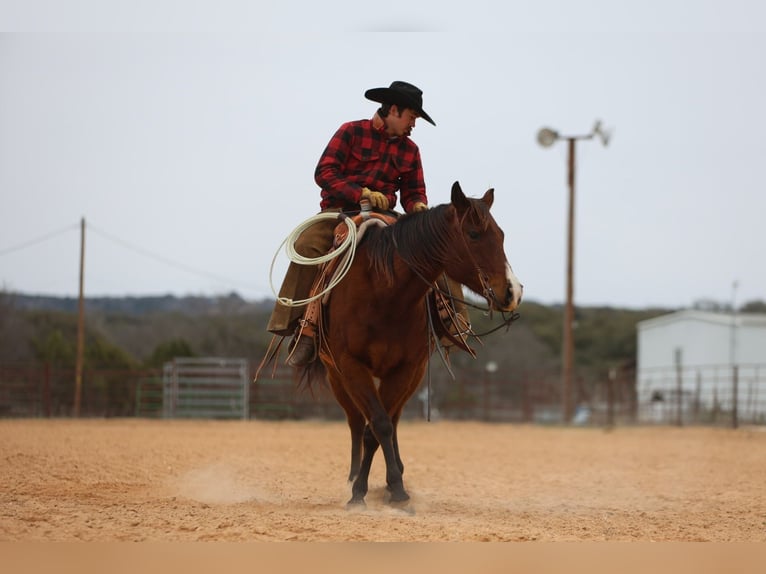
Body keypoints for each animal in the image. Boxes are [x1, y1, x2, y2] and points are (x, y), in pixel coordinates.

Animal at [308, 181, 524, 508]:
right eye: (474, 234)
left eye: (500, 235)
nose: (512, 291)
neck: (384, 294)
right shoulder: (350, 365)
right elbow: (376, 424)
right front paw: (358, 492)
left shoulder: (406, 368)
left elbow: (381, 427)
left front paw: (395, 488)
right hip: (337, 376)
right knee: (357, 421)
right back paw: (353, 477)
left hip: (412, 376)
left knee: (390, 421)